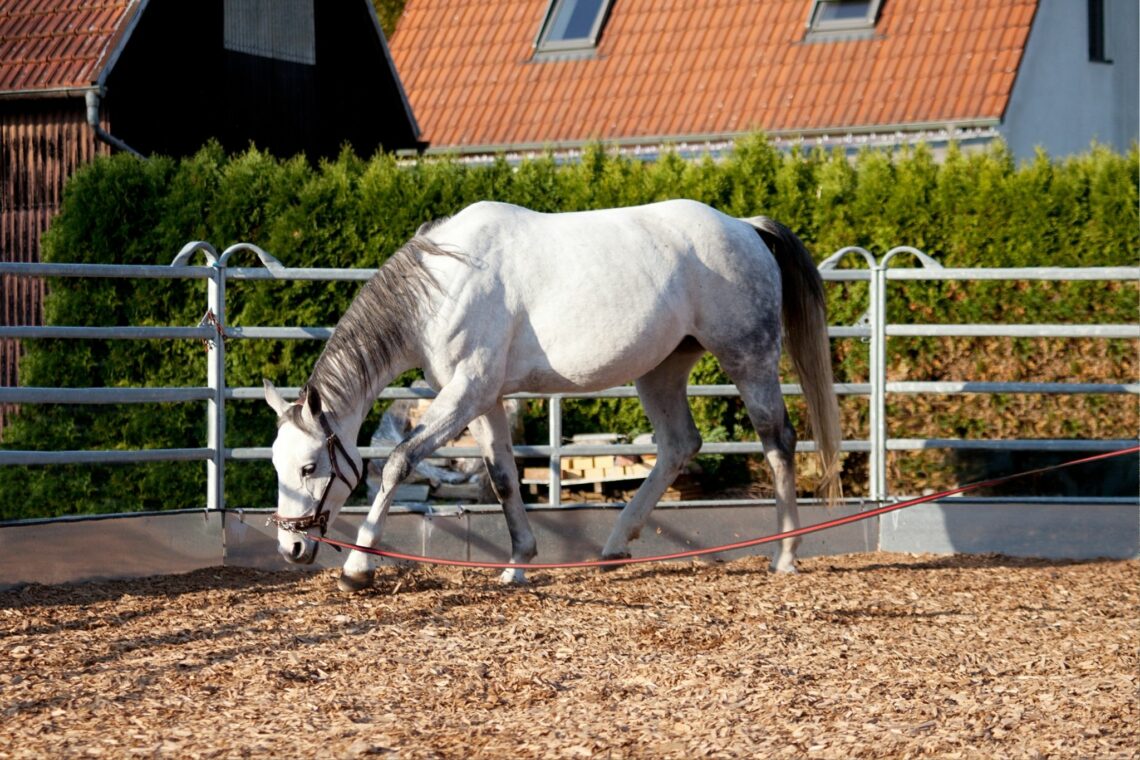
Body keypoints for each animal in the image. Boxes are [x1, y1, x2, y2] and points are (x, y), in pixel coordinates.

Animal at [264, 199, 842, 590]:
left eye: (310, 467)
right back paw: (613, 548)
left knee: (778, 439)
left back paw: (785, 555)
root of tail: (747, 228)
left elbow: (399, 463)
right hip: (661, 370)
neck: (443, 285)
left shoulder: (467, 392)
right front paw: (518, 564)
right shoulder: (483, 400)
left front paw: (357, 568)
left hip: (748, 357)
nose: (291, 546)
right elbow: (502, 477)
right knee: (680, 445)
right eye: (276, 465)